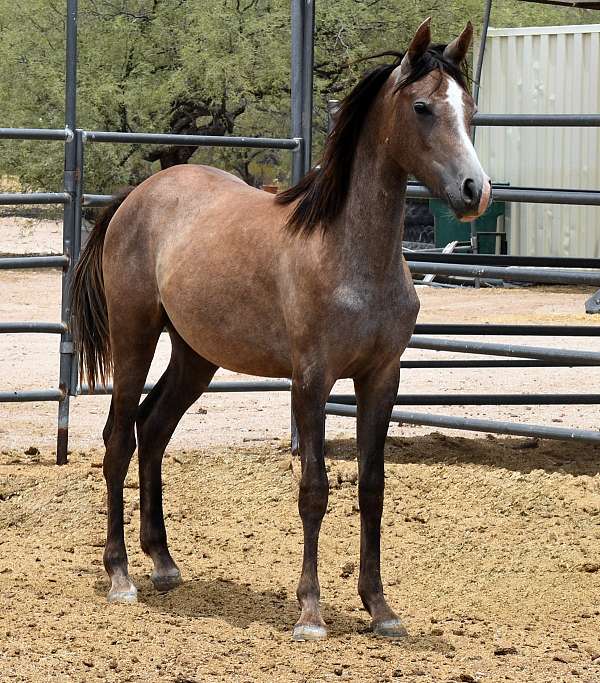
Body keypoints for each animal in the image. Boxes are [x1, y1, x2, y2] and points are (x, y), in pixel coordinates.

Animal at [71, 18, 491, 641]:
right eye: (422, 107)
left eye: (470, 108)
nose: (473, 191)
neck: (348, 254)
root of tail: (137, 196)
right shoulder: (311, 382)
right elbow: (313, 489)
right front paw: (310, 612)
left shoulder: (381, 379)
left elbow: (372, 487)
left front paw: (380, 608)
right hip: (134, 338)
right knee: (120, 436)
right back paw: (121, 575)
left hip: (195, 357)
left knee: (154, 429)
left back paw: (164, 562)